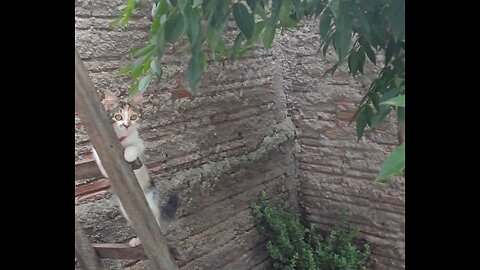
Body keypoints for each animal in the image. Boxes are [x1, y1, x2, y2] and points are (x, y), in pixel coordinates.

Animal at [92, 90, 178, 247]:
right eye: (118, 117)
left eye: (133, 117)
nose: (126, 125)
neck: (120, 139)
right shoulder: (97, 149)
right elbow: (100, 160)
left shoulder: (139, 144)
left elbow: (133, 148)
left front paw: (128, 155)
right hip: (127, 210)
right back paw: (137, 241)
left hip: (150, 201)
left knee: (154, 224)